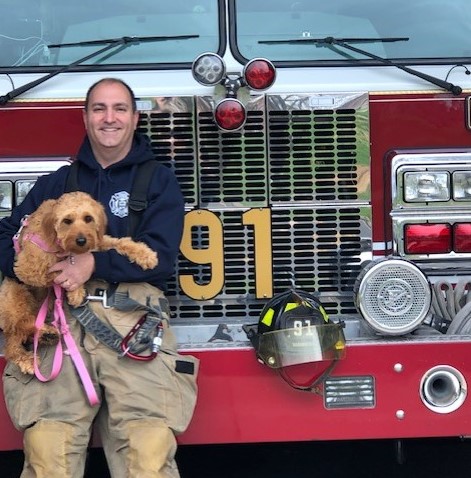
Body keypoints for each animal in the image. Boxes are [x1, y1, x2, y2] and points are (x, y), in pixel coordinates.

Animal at [0, 190, 159, 374]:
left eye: (88, 218)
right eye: (67, 221)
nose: (81, 241)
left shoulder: (97, 240)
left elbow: (119, 242)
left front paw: (145, 254)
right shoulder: (29, 269)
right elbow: (61, 269)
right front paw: (76, 291)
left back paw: (44, 336)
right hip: (17, 295)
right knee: (15, 333)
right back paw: (29, 355)